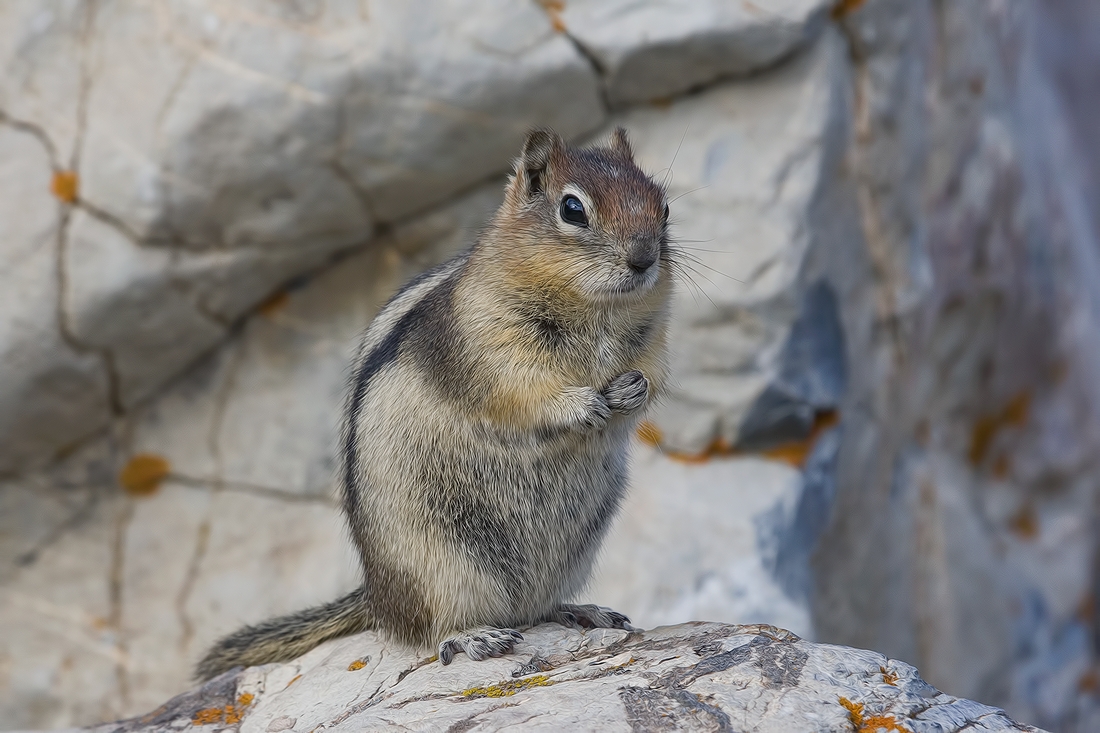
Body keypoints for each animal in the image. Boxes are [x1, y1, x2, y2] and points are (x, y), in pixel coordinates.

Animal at [202, 124, 673, 673]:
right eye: (572, 209)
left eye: (663, 207)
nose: (644, 258)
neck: (598, 309)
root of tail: (378, 599)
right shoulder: (489, 348)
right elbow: (523, 393)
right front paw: (583, 405)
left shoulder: (653, 341)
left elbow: (653, 376)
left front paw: (633, 390)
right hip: (441, 566)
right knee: (433, 630)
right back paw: (473, 637)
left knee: (538, 608)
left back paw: (580, 610)